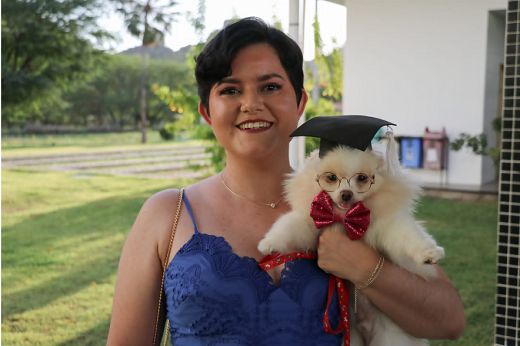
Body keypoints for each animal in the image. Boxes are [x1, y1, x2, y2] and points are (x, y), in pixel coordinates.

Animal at [258, 135, 444, 346]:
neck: (343, 218)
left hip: (390, 336)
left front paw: (430, 254)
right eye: (331, 178)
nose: (346, 194)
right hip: (353, 336)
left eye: (362, 178)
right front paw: (269, 244)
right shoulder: (309, 224)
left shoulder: (388, 226)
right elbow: (287, 226)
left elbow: (409, 235)